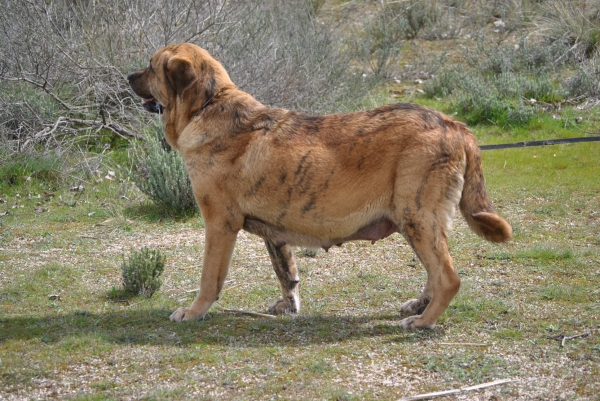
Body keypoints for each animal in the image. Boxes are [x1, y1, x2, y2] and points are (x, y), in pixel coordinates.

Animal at [127, 42, 510, 328]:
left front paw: (194, 312)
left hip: (417, 218)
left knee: (448, 277)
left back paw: (422, 321)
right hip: (417, 223)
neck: (208, 104)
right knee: (435, 272)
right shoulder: (274, 234)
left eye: (151, 66)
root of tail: (454, 124)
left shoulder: (219, 224)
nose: (128, 76)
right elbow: (286, 273)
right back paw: (418, 306)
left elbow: (209, 277)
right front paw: (288, 305)